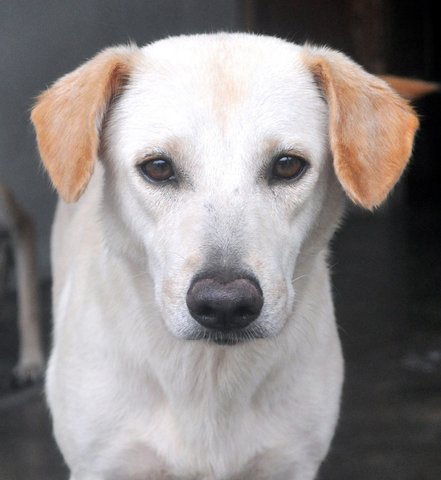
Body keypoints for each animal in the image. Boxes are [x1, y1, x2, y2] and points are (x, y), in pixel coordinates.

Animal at [30, 34, 416, 480]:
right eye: (158, 167)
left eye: (288, 165)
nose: (225, 305)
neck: (209, 375)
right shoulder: (103, 463)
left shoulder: (292, 462)